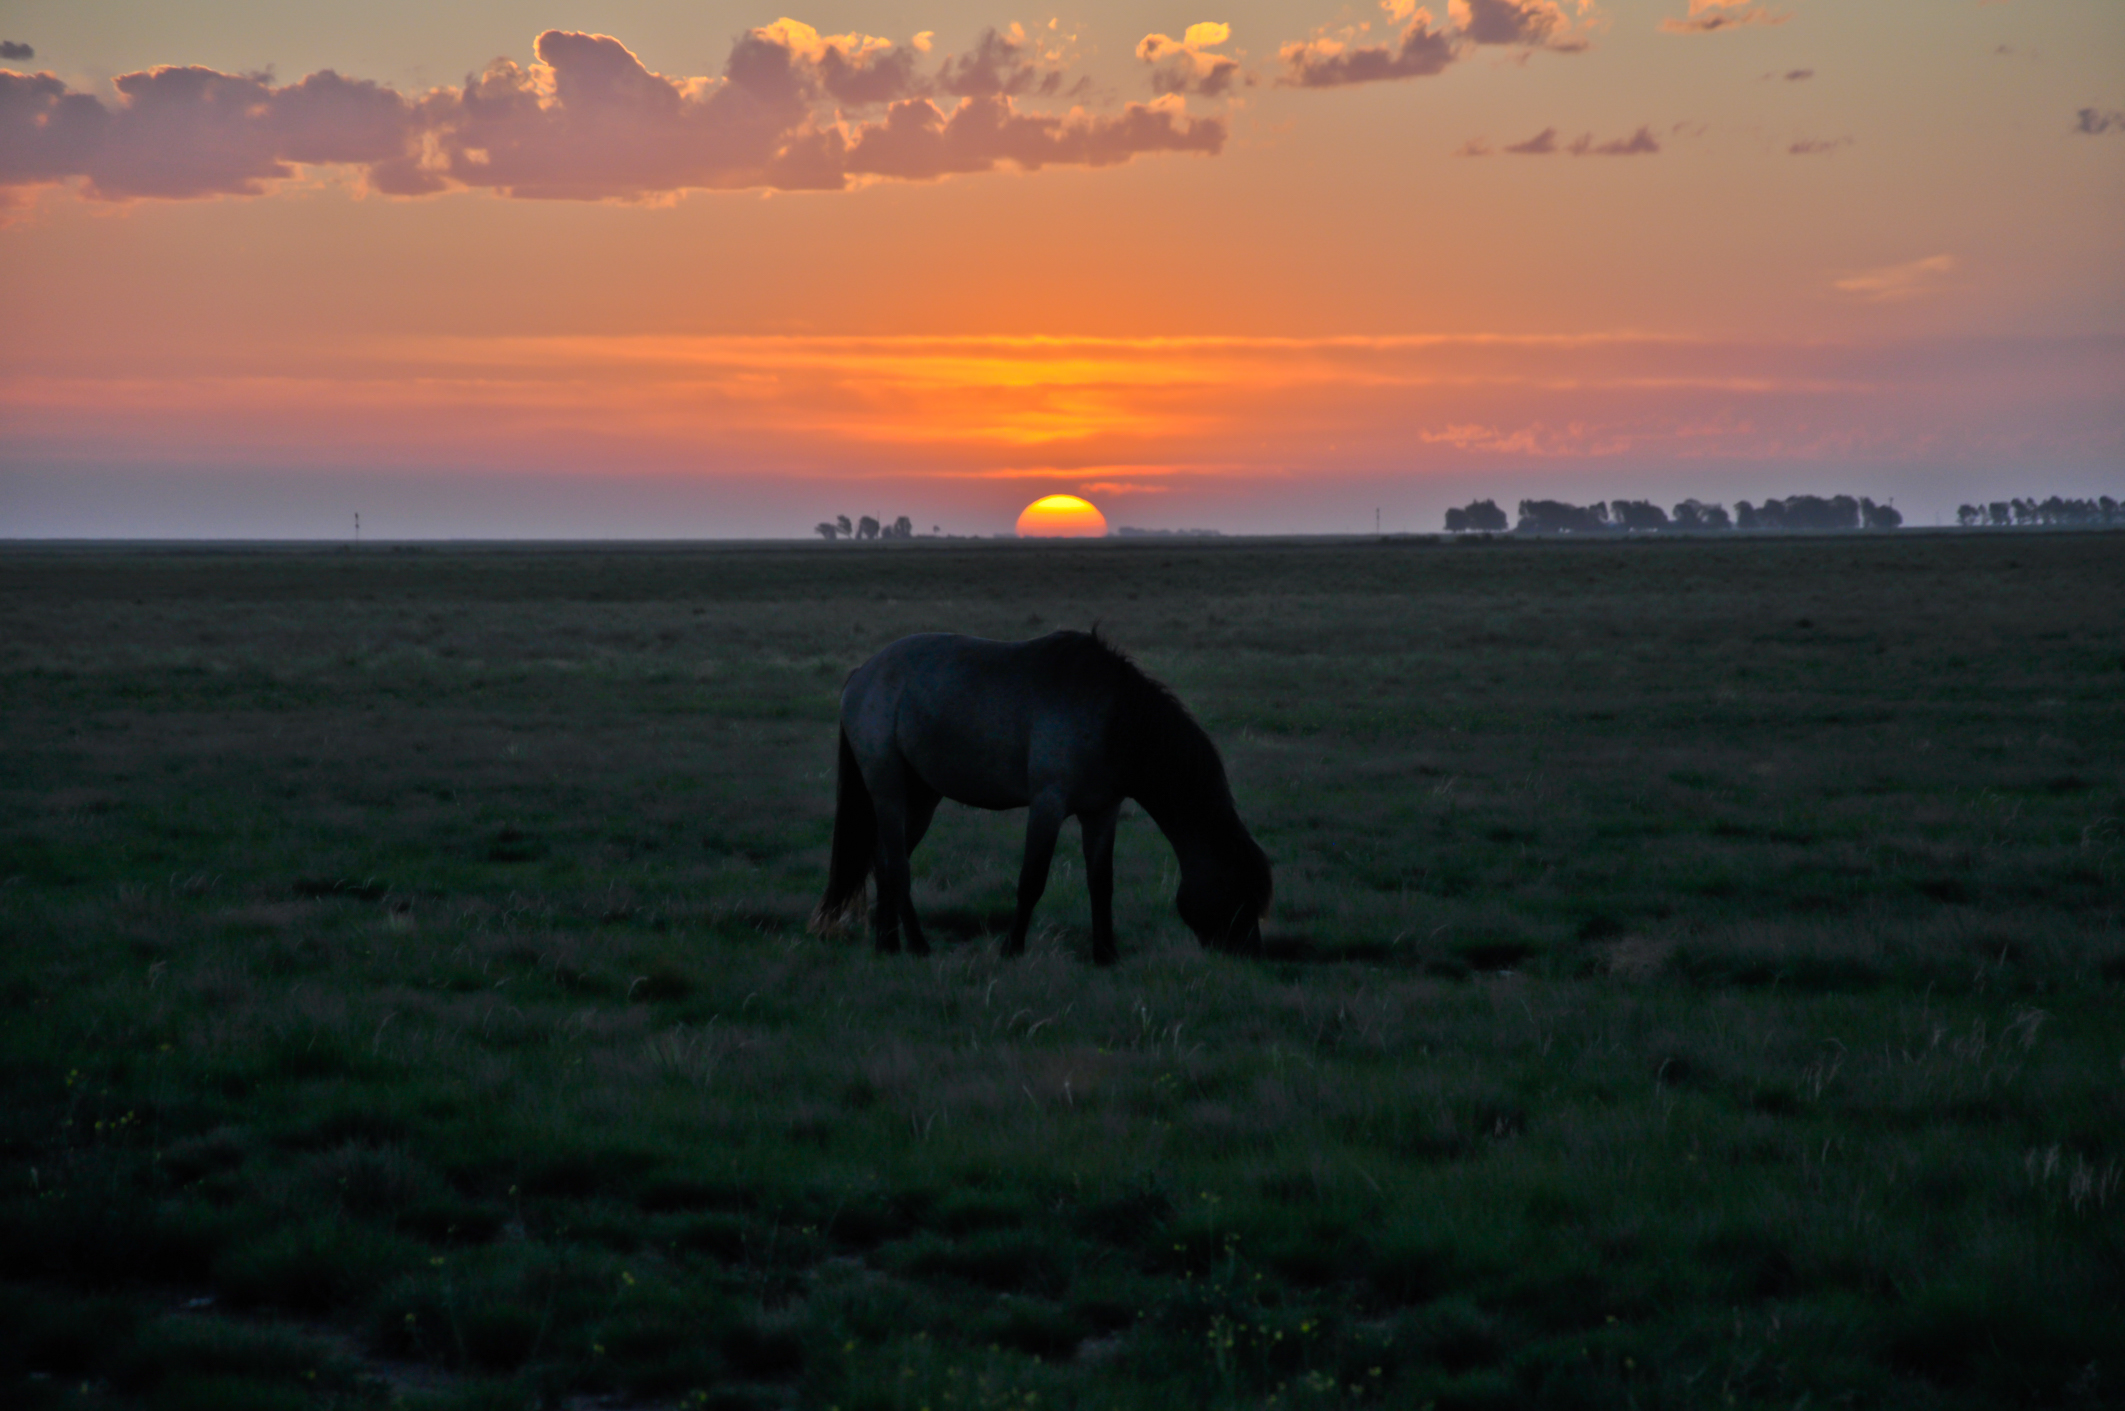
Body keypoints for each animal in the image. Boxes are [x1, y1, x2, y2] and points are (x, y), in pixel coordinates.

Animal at [811, 633, 1266, 964]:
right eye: (1238, 892)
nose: (1247, 955)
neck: (1112, 718)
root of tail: (863, 673)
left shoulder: (1102, 812)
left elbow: (1101, 883)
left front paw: (1106, 954)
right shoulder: (1048, 805)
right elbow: (1032, 880)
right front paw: (1012, 949)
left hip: (921, 797)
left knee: (885, 862)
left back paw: (886, 944)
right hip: (888, 789)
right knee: (897, 865)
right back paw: (917, 945)